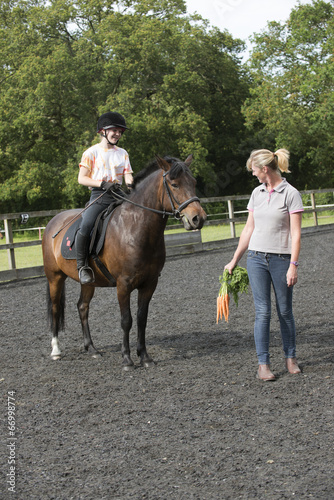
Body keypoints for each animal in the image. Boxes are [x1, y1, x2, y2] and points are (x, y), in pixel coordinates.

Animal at [42, 154, 206, 370]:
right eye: (174, 184)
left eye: (193, 182)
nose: (198, 218)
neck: (135, 227)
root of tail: (53, 222)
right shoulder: (123, 284)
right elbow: (126, 320)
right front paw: (127, 359)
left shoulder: (150, 283)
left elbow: (142, 319)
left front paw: (145, 357)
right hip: (55, 277)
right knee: (54, 308)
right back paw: (55, 351)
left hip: (89, 282)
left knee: (82, 307)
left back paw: (92, 349)